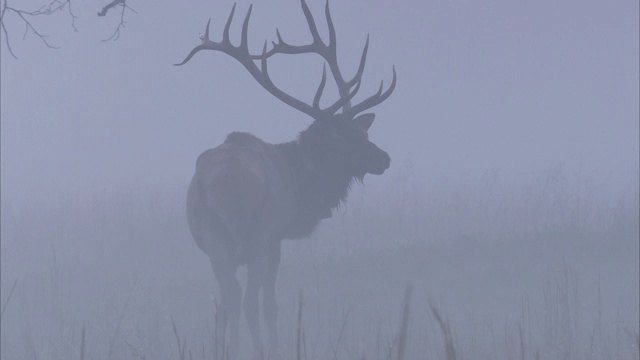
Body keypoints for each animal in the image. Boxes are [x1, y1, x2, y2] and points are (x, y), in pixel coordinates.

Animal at [176, 0, 396, 358]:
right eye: (339, 137)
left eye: (360, 131)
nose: (383, 158)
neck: (299, 187)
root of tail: (228, 183)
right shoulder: (275, 237)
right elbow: (271, 304)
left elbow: (222, 307)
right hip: (256, 234)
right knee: (248, 300)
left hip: (214, 238)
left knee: (230, 299)